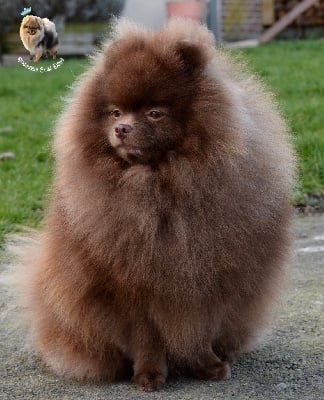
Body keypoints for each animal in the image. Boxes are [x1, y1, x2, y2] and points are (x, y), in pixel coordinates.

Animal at [17, 18, 296, 390]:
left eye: (155, 114)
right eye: (115, 112)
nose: (122, 128)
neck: (158, 186)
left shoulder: (209, 282)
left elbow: (199, 331)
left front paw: (208, 366)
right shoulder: (130, 288)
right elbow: (146, 337)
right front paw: (149, 375)